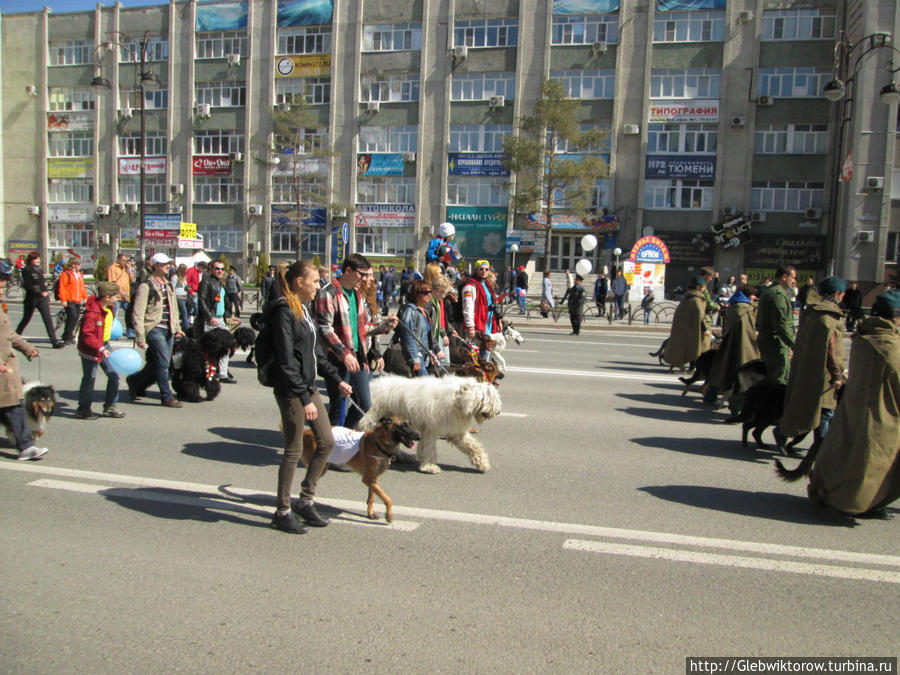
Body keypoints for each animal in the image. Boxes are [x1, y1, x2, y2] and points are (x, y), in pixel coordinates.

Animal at [368, 374, 506, 476]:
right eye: (489, 399)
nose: (498, 412)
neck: (458, 400)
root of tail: (371, 384)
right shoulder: (430, 429)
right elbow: (428, 448)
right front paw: (429, 467)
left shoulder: (456, 431)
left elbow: (473, 446)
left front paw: (482, 463)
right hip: (370, 419)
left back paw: (405, 457)